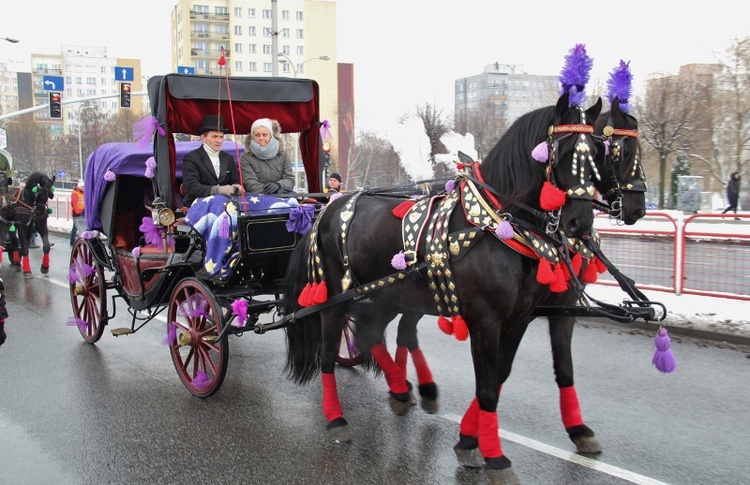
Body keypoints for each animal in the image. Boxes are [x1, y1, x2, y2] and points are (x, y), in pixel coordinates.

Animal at [282, 89, 604, 482]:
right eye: (564, 148)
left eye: (599, 149)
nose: (579, 223)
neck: (496, 225)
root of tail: (329, 206)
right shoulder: (485, 320)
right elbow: (487, 386)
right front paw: (494, 456)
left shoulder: (520, 319)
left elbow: (501, 376)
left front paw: (471, 440)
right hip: (335, 298)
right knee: (329, 353)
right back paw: (337, 417)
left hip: (385, 294)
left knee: (372, 334)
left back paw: (403, 389)